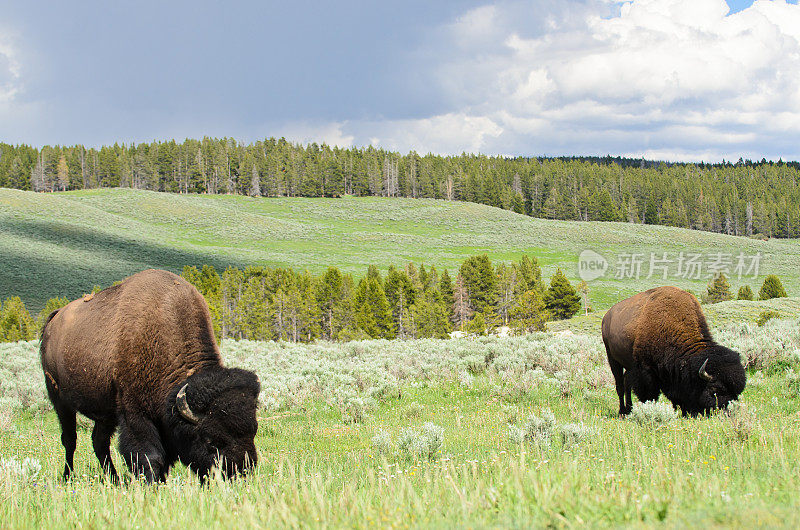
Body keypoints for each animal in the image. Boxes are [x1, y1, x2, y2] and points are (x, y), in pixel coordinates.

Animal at [40, 270, 260, 480]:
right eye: (210, 441)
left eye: (254, 430)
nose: (241, 473)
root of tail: (54, 320)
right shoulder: (135, 413)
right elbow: (149, 455)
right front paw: (150, 483)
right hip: (60, 401)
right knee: (70, 439)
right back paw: (68, 477)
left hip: (105, 411)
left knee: (99, 441)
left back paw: (114, 479)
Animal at [604, 286, 748, 414]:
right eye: (714, 390)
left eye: (737, 392)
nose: (727, 412)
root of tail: (607, 316)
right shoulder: (645, 371)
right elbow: (649, 395)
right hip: (613, 359)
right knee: (620, 385)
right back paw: (622, 411)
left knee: (626, 383)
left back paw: (629, 409)